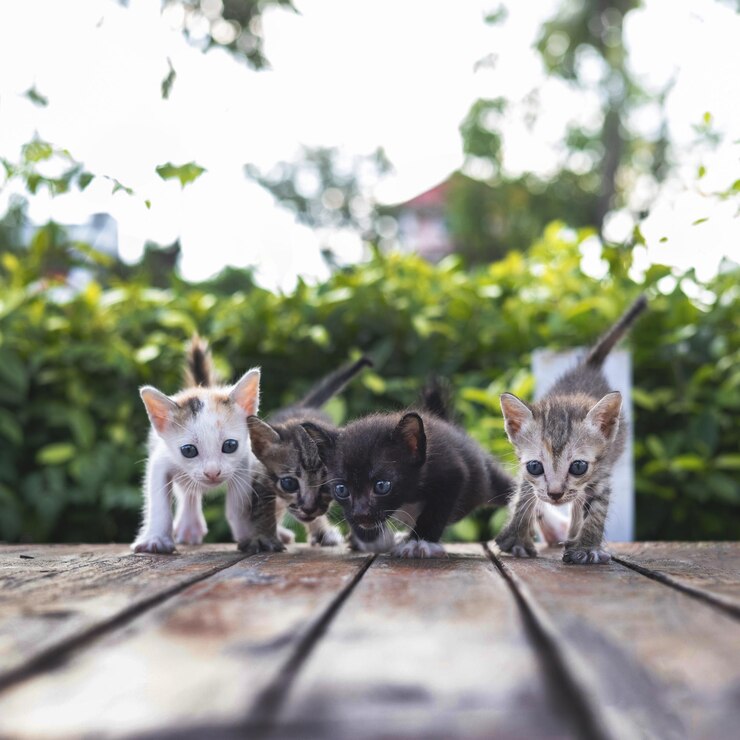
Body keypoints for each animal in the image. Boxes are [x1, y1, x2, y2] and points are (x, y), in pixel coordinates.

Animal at [132, 336, 282, 556]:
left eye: (230, 445)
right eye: (188, 450)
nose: (212, 473)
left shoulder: (244, 461)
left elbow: (239, 505)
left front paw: (251, 536)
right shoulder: (161, 459)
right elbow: (159, 501)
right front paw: (156, 540)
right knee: (188, 492)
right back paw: (189, 525)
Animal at [247, 356, 372, 548]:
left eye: (327, 485)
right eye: (289, 483)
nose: (308, 508)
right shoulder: (260, 474)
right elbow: (262, 505)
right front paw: (263, 537)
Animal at [300, 384, 516, 556]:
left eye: (382, 486)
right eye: (342, 489)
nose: (362, 515)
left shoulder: (453, 472)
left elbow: (435, 511)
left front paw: (419, 542)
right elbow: (350, 514)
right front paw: (372, 538)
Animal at [498, 294, 648, 568]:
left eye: (578, 466)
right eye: (535, 466)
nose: (555, 494)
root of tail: (588, 367)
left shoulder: (600, 474)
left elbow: (594, 509)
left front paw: (586, 547)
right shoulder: (527, 475)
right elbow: (525, 498)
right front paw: (515, 537)